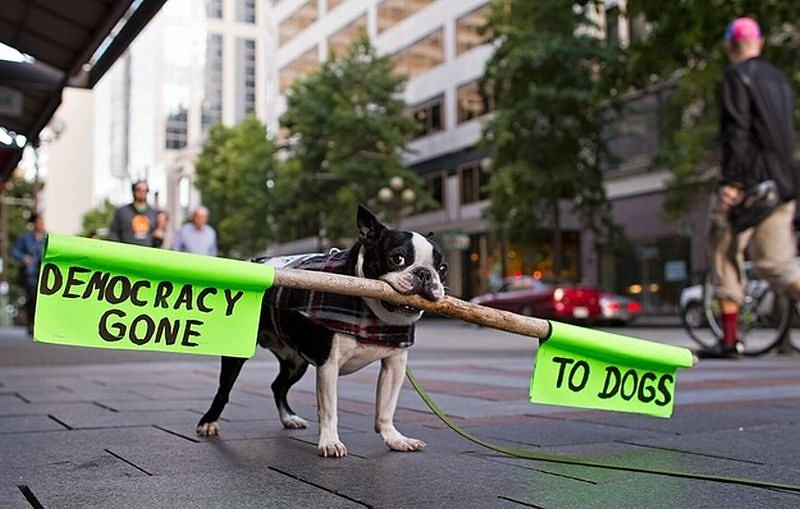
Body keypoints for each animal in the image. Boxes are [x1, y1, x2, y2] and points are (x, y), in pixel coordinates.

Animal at [197, 203, 446, 456]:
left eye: (443, 268)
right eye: (398, 259)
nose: (425, 274)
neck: (373, 315)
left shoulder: (394, 365)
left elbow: (386, 408)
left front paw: (395, 439)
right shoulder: (329, 364)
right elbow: (329, 409)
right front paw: (330, 442)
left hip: (296, 362)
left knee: (278, 386)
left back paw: (289, 418)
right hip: (238, 354)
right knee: (224, 390)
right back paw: (208, 422)